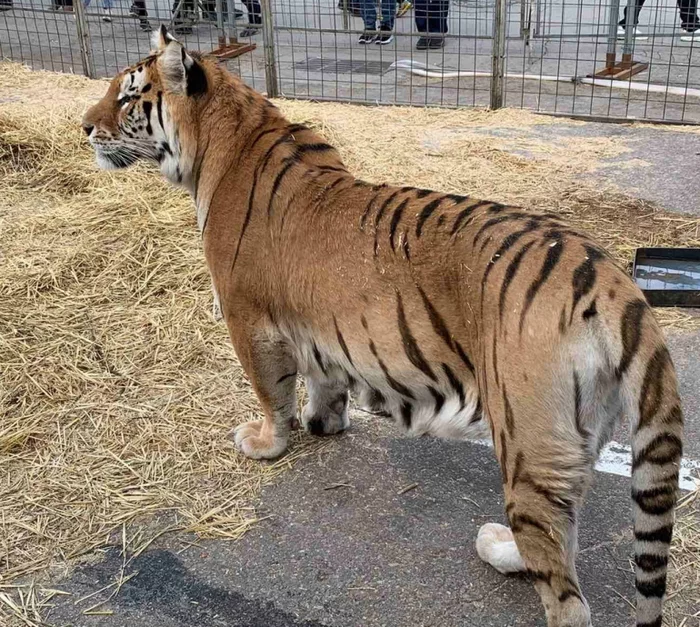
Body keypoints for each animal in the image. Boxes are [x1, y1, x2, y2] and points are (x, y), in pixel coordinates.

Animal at [82, 26, 683, 627]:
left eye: (128, 96)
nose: (84, 127)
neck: (222, 141)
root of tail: (611, 279)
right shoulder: (316, 326)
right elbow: (323, 380)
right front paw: (323, 422)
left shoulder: (247, 318)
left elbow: (270, 392)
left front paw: (266, 443)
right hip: (575, 438)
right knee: (562, 532)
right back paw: (502, 546)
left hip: (527, 439)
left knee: (567, 594)